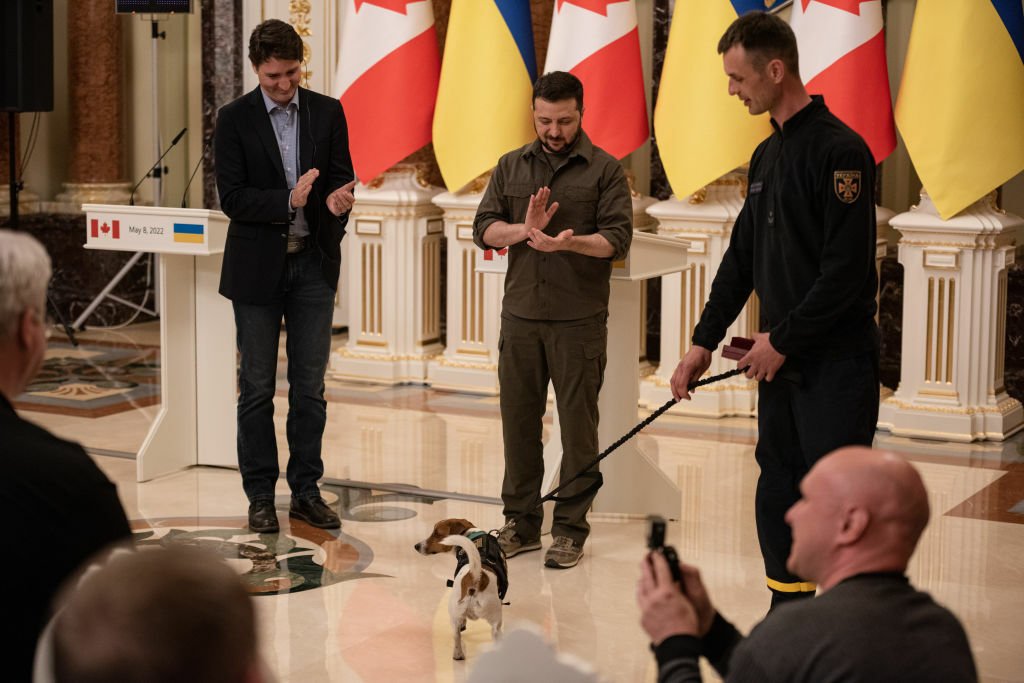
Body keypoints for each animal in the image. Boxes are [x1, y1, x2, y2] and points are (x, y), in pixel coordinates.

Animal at [413, 520, 505, 659]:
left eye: (437, 533)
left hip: (458, 615)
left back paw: (458, 654)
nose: (416, 546)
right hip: (495, 620)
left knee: (456, 636)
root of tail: (474, 576)